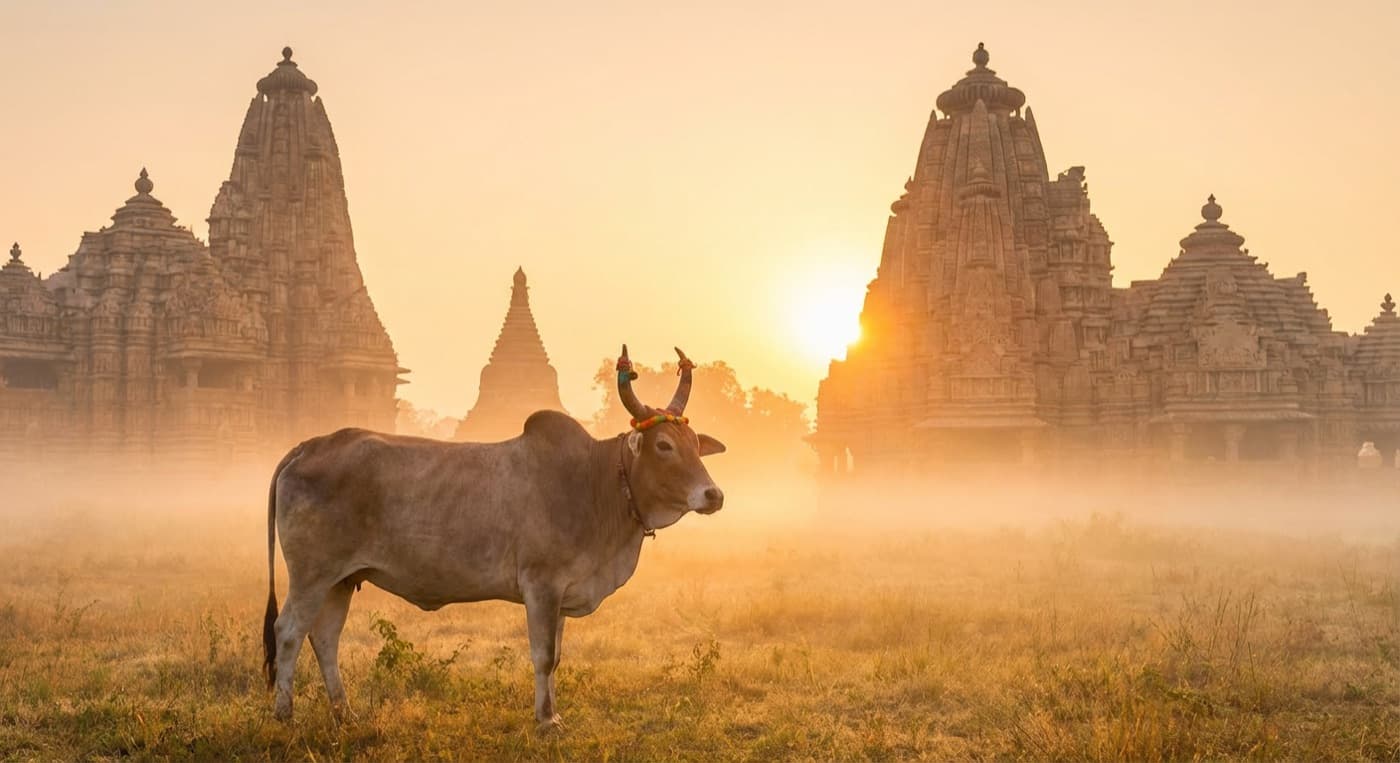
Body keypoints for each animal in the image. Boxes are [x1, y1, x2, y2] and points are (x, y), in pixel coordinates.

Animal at [261, 346, 725, 730]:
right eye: (663, 445)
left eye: (693, 444)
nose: (713, 495)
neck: (597, 482)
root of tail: (306, 446)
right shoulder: (541, 586)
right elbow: (544, 656)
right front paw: (546, 721)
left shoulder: (561, 593)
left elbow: (557, 658)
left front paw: (553, 713)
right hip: (311, 575)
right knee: (289, 631)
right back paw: (285, 715)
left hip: (341, 580)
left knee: (324, 638)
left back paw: (346, 713)